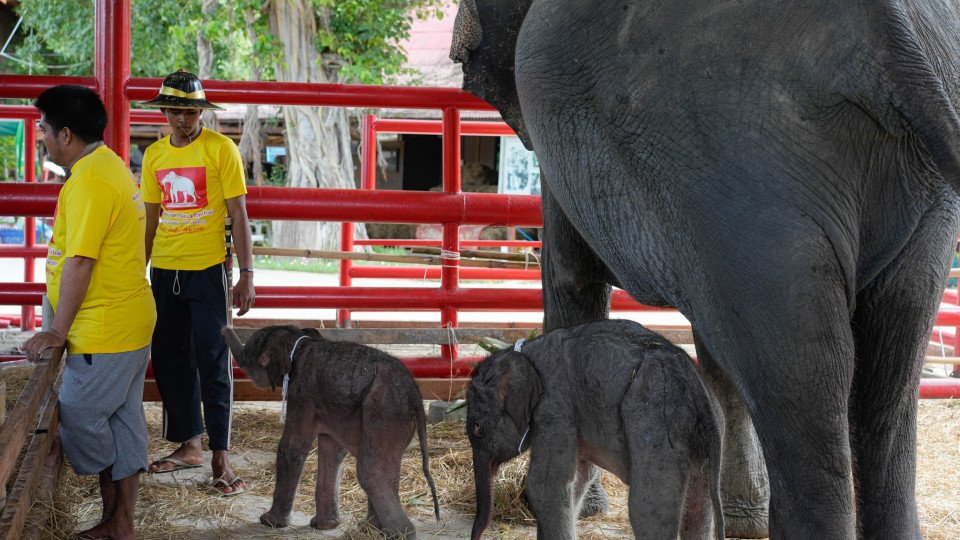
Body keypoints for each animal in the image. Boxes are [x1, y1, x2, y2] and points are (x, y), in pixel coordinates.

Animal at [221, 325, 440, 539]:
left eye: (246, 359)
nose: (224, 326)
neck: (301, 341)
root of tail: (415, 395)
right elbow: (332, 451)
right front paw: (326, 526)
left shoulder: (301, 395)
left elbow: (292, 448)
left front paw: (269, 523)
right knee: (386, 470)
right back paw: (370, 530)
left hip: (384, 410)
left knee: (371, 472)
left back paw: (398, 534)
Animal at [467, 319, 724, 540]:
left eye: (478, 429)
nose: (476, 536)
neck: (525, 352)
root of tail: (699, 393)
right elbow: (580, 478)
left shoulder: (555, 409)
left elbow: (546, 485)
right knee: (698, 512)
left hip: (657, 429)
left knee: (647, 508)